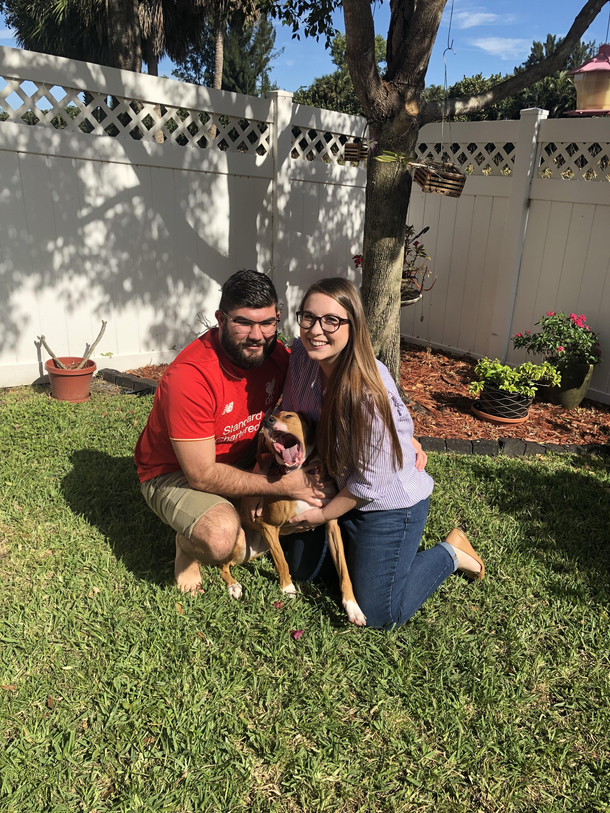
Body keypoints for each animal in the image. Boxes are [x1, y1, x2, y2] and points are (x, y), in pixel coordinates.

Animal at [217, 410, 364, 624]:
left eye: (288, 416)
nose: (267, 420)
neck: (301, 473)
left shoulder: (332, 525)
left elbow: (344, 570)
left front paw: (352, 606)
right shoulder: (268, 525)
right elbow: (282, 562)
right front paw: (288, 589)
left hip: (253, 552)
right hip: (239, 544)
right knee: (222, 565)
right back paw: (234, 586)